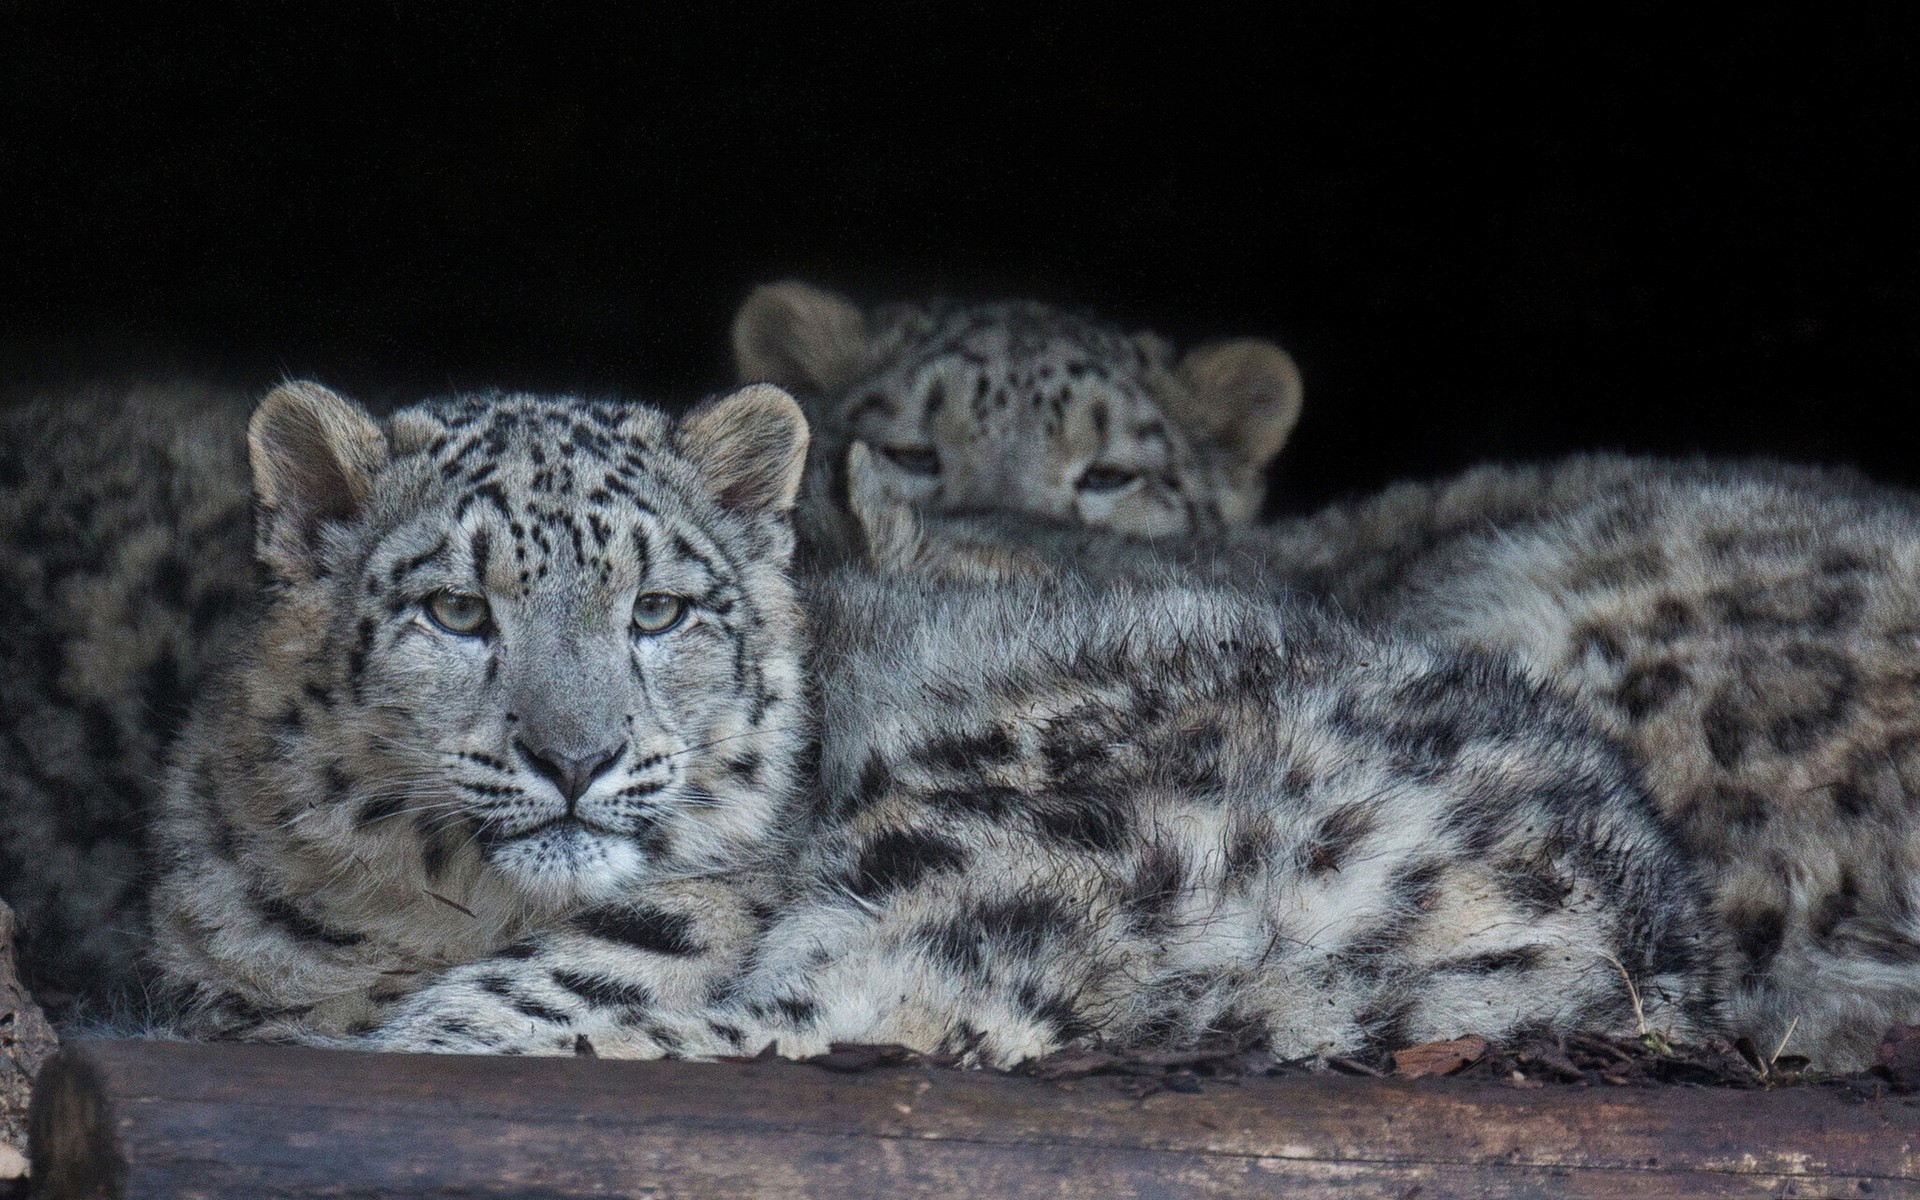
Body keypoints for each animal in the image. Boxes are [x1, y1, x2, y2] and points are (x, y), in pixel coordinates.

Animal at [149, 380, 1725, 1066]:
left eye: (659, 609)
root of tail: (1650, 920)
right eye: (457, 611)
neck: (433, 909)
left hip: (995, 820)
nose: (577, 756)